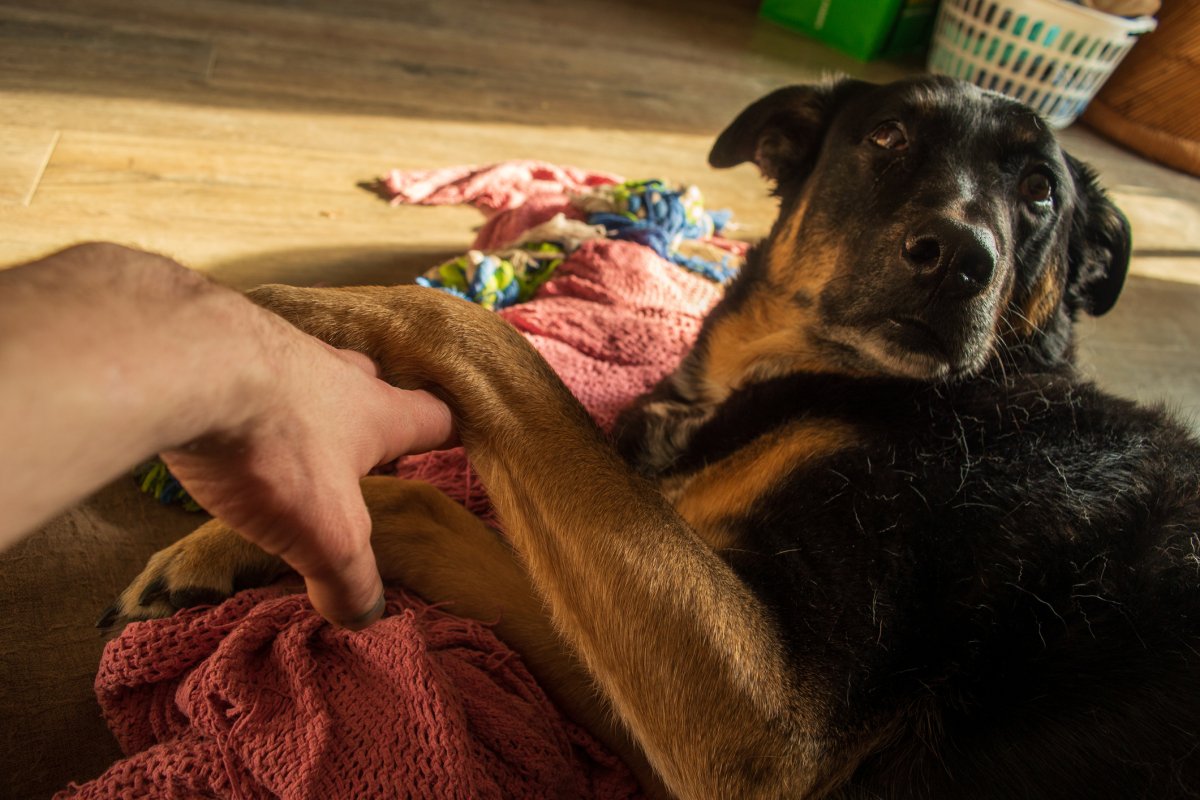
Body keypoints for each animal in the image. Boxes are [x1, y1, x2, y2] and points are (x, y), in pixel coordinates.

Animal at [105, 76, 1200, 800]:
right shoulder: (648, 697)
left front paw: (291, 310)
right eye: (888, 136)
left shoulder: (762, 735)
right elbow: (427, 499)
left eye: (1041, 194)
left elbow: (487, 341)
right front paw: (237, 538)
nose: (960, 259)